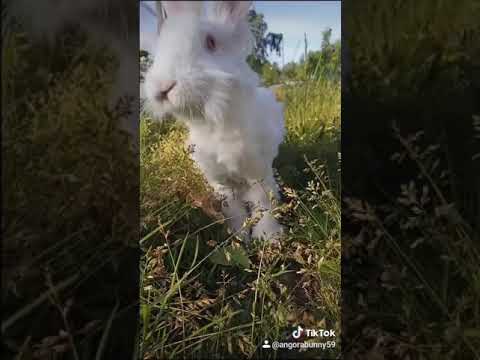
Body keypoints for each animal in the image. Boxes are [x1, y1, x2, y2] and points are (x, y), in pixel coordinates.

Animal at [142, 1, 284, 242]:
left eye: (211, 42)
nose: (162, 87)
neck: (216, 122)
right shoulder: (220, 182)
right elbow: (232, 208)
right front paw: (238, 237)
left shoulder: (258, 172)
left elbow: (263, 202)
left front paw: (269, 237)